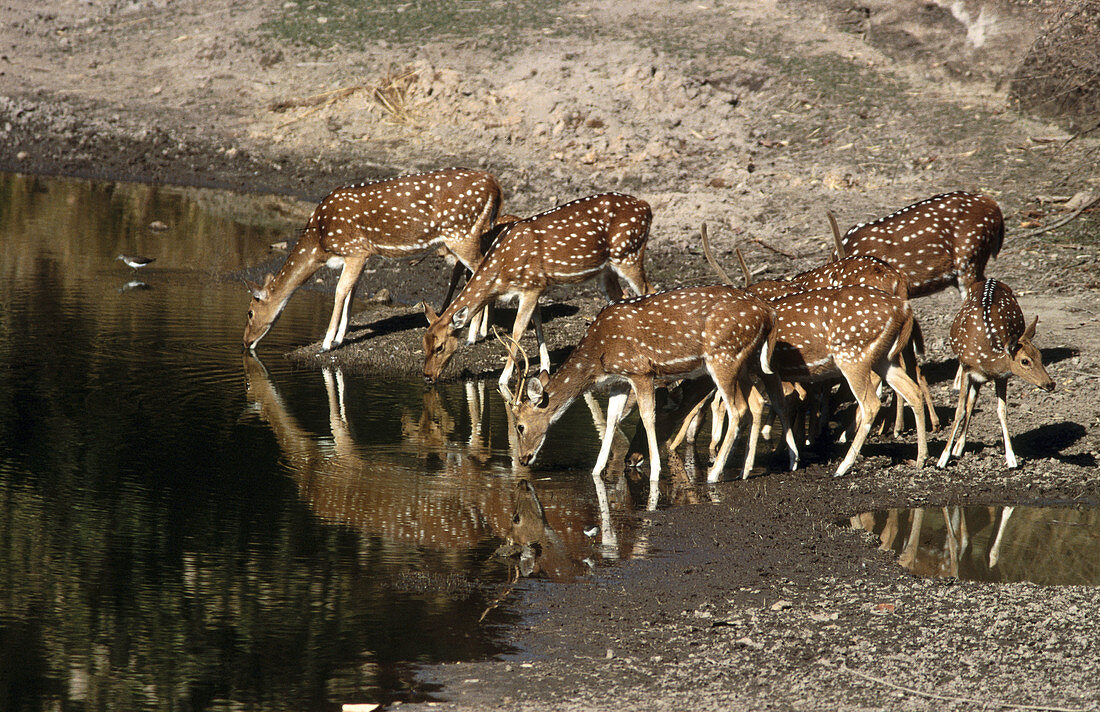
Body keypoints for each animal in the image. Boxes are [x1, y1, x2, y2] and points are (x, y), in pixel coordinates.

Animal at [245, 169, 503, 354]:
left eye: (249, 312)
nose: (245, 343)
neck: (320, 242)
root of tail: (496, 185)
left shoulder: (355, 250)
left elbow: (340, 291)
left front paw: (327, 343)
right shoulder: (363, 255)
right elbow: (351, 292)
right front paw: (339, 339)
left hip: (460, 233)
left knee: (481, 270)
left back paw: (473, 336)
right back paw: (482, 331)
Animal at [422, 192, 651, 387]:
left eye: (440, 347)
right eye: (424, 344)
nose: (427, 376)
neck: (503, 269)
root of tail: (646, 207)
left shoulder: (530, 286)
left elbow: (518, 328)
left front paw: (504, 378)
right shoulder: (536, 286)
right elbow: (537, 320)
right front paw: (545, 366)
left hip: (629, 254)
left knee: (646, 290)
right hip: (607, 270)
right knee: (620, 297)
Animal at [506, 286, 800, 510]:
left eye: (520, 426)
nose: (523, 459)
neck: (599, 356)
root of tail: (769, 314)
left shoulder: (640, 370)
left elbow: (648, 417)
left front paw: (656, 474)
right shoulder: (620, 380)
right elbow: (611, 420)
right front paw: (596, 472)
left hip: (723, 356)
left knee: (738, 409)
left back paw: (715, 474)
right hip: (748, 361)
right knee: (759, 402)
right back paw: (750, 469)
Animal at [937, 277, 1056, 468]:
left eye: (1040, 355)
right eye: (1025, 361)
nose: (1050, 384)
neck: (985, 357)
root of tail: (991, 279)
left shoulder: (1002, 376)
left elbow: (1002, 411)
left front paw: (1011, 458)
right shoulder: (966, 368)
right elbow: (959, 410)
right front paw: (942, 458)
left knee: (972, 401)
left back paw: (959, 446)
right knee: (969, 403)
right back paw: (956, 449)